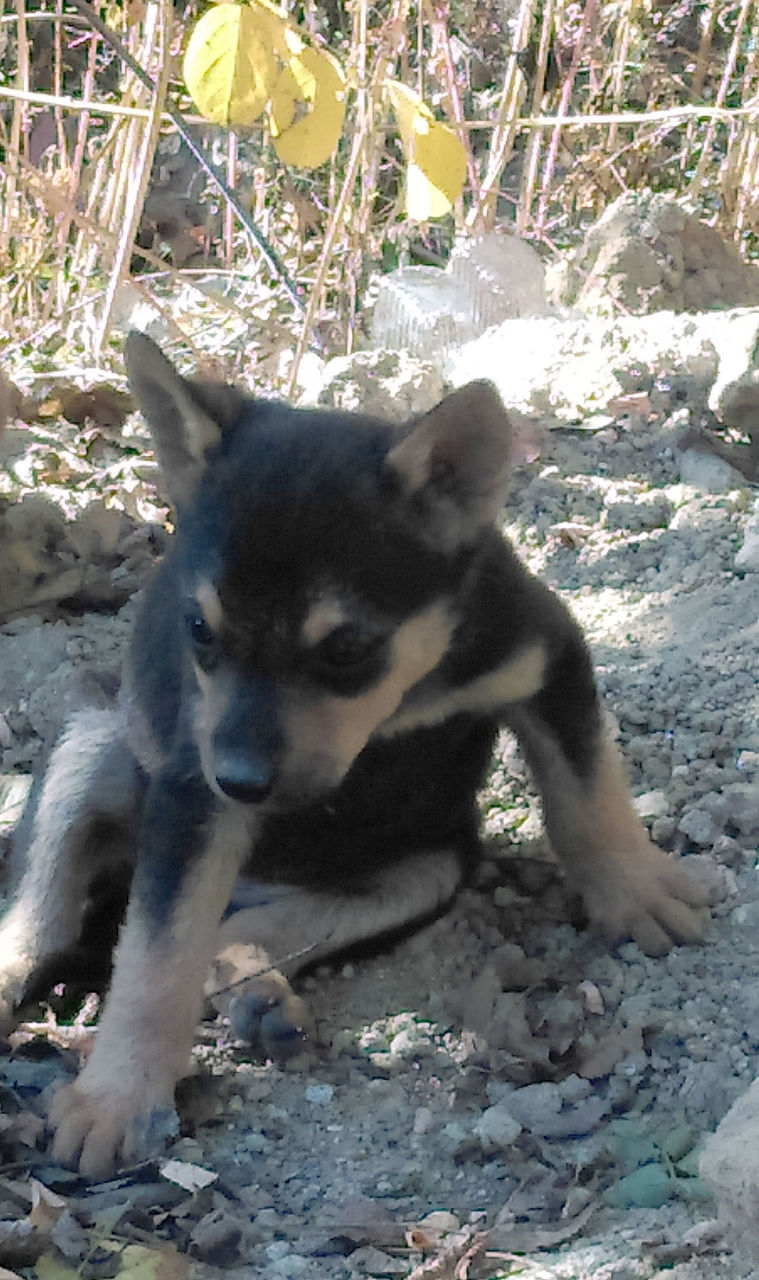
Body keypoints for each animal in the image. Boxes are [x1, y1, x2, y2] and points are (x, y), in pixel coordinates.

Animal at [1, 332, 711, 1177]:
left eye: (346, 648)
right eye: (199, 630)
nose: (243, 784)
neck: (401, 696)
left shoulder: (546, 660)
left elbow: (586, 795)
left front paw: (634, 891)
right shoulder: (189, 793)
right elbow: (155, 955)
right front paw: (118, 1096)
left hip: (421, 872)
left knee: (244, 930)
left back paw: (257, 992)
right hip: (92, 740)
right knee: (41, 920)